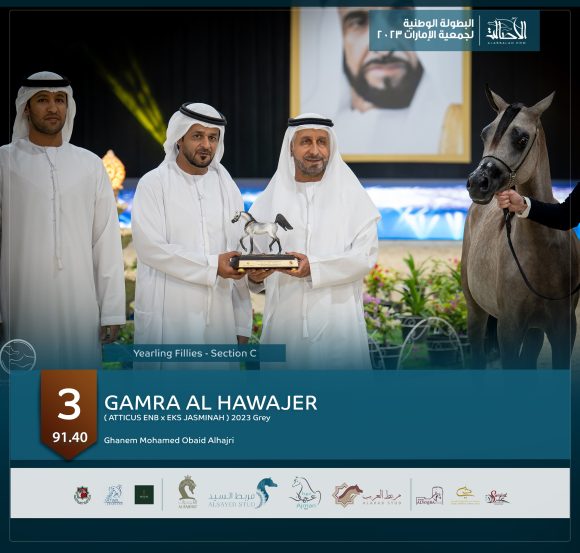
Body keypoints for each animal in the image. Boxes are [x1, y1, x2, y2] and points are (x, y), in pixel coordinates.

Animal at [462, 87, 579, 369]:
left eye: (522, 139)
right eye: (485, 133)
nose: (477, 183)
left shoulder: (564, 329)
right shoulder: (509, 329)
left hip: (535, 331)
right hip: (475, 310)